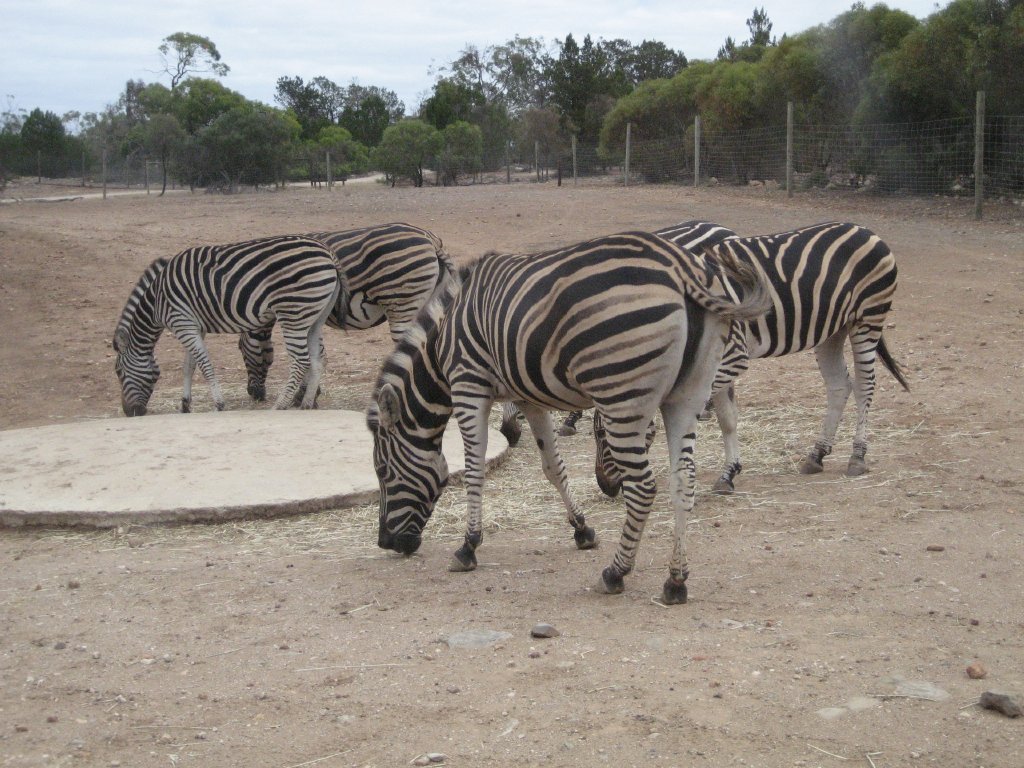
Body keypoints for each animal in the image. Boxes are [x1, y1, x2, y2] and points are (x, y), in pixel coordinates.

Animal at [113, 235, 346, 416]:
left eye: (119, 372)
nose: (130, 413)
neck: (156, 301)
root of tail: (327, 252)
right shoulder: (194, 327)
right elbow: (189, 365)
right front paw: (185, 405)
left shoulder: (182, 322)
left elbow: (204, 364)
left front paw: (218, 403)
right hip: (314, 318)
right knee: (318, 360)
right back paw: (306, 404)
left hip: (293, 314)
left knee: (300, 361)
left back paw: (279, 406)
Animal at [237, 223, 454, 402]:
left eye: (240, 348)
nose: (254, 394)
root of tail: (430, 239)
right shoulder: (311, 315)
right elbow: (316, 353)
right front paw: (310, 394)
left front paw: (303, 395)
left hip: (402, 305)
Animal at [368, 231, 771, 604]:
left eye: (384, 473)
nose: (386, 542)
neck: (440, 346)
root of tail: (682, 268)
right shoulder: (527, 397)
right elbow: (553, 468)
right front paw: (582, 530)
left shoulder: (469, 384)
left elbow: (474, 470)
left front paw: (468, 546)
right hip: (686, 397)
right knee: (683, 480)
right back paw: (675, 581)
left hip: (621, 396)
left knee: (643, 487)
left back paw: (615, 573)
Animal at [589, 220, 910, 496]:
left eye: (604, 435)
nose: (605, 487)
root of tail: (864, 229)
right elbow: (728, 419)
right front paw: (728, 473)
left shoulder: (732, 357)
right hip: (832, 329)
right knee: (839, 386)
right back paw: (817, 454)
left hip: (868, 317)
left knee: (865, 385)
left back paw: (857, 456)